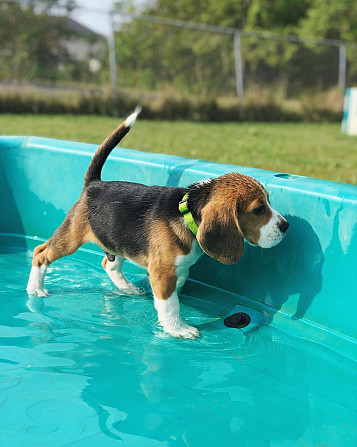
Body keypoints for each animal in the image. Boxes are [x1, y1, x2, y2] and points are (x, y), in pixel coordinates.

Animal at [28, 108, 290, 340]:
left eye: (269, 200)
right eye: (258, 209)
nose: (286, 226)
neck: (187, 214)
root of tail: (94, 184)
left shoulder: (177, 269)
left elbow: (177, 287)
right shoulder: (162, 272)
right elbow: (169, 303)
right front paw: (177, 328)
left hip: (118, 239)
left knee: (109, 264)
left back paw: (127, 288)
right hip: (71, 236)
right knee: (41, 252)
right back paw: (35, 289)